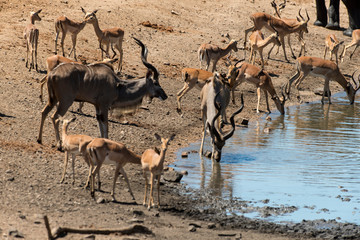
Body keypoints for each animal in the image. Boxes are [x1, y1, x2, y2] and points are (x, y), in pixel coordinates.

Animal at [37, 37, 167, 149]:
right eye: (156, 82)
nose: (164, 96)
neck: (118, 85)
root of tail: (52, 74)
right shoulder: (104, 106)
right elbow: (106, 126)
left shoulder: (98, 107)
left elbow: (101, 125)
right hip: (65, 101)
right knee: (55, 117)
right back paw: (59, 144)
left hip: (53, 99)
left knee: (44, 112)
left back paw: (39, 140)